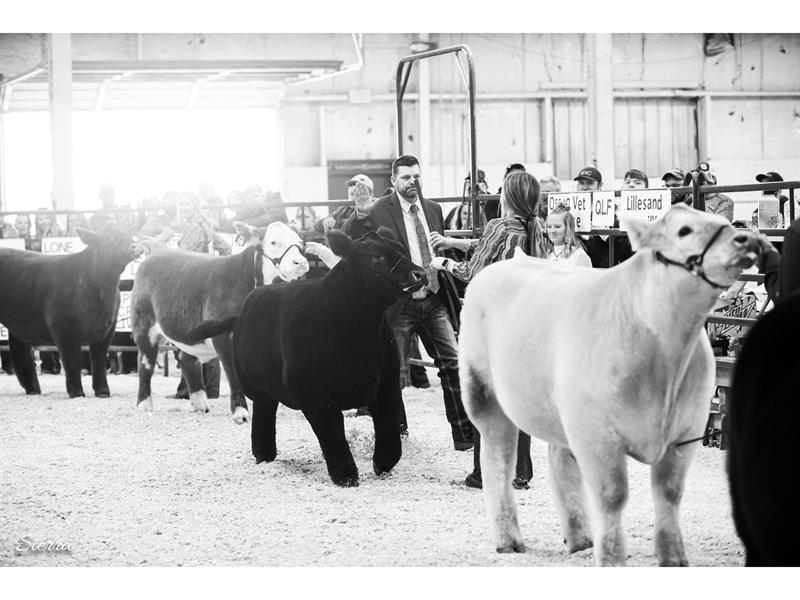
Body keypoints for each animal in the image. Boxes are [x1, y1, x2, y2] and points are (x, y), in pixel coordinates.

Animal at [0, 221, 139, 398]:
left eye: (129, 234)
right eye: (108, 238)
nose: (135, 246)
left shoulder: (107, 329)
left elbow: (99, 361)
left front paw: (102, 391)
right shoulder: (64, 327)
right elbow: (73, 360)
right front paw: (77, 392)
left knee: (21, 352)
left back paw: (33, 389)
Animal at [130, 220, 308, 422]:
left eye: (299, 242)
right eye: (273, 242)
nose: (300, 262)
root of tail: (158, 250)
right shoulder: (223, 335)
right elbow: (232, 371)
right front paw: (240, 411)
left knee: (188, 360)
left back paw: (199, 404)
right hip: (143, 325)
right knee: (146, 362)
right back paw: (144, 404)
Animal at [198, 227, 424, 486]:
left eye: (401, 249)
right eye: (376, 255)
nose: (419, 273)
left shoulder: (387, 381)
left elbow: (388, 424)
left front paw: (383, 463)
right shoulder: (311, 392)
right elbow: (332, 432)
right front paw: (346, 475)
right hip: (258, 388)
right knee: (264, 414)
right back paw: (264, 455)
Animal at [460, 204, 780, 564]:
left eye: (724, 223)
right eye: (683, 230)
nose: (745, 240)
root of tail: (511, 260)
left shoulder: (685, 431)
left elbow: (670, 495)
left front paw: (673, 559)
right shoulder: (598, 434)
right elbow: (612, 496)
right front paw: (611, 557)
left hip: (561, 408)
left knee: (559, 458)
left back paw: (580, 538)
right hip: (482, 391)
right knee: (497, 456)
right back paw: (509, 539)